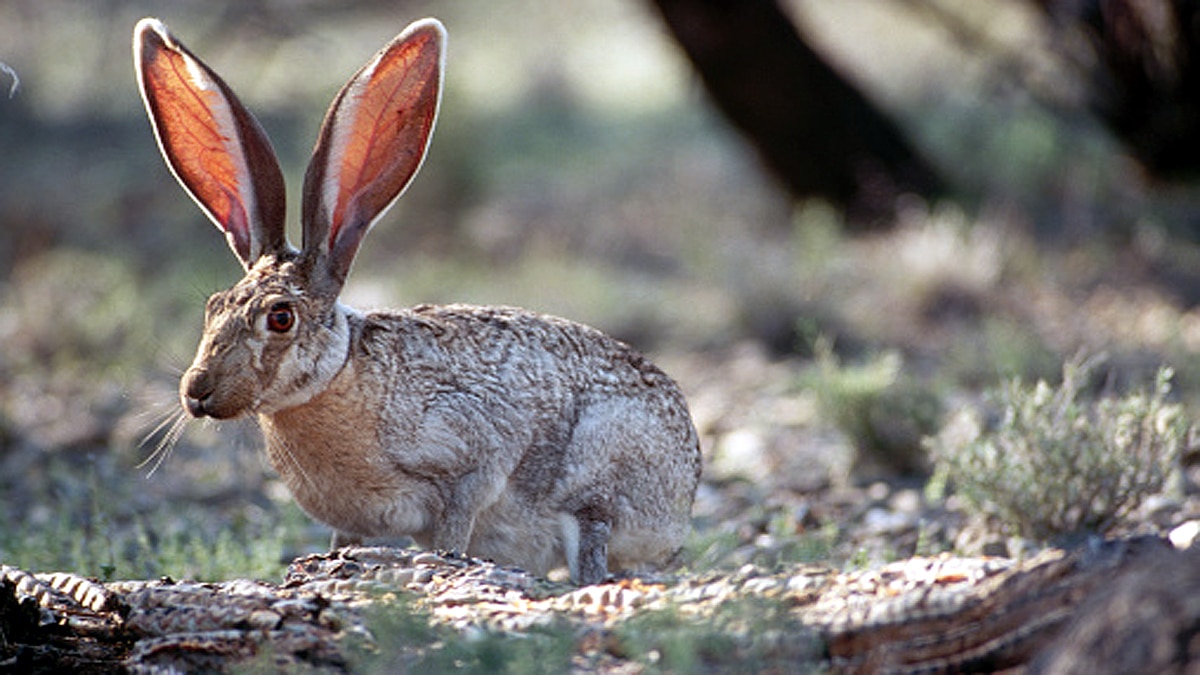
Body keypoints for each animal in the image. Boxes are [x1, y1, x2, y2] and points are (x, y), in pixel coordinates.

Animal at [133, 17, 702, 585]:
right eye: (213, 306)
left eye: (280, 317)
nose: (197, 392)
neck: (340, 377)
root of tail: (684, 502)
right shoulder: (349, 518)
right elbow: (342, 543)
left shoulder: (471, 455)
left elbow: (456, 525)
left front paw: (435, 562)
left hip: (602, 472)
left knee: (593, 551)